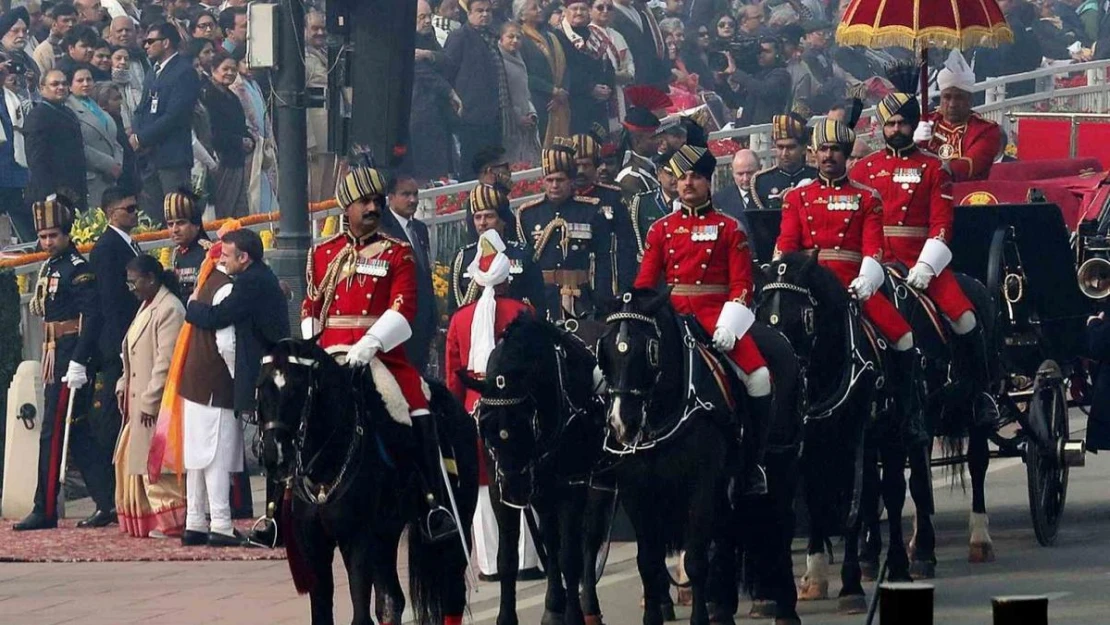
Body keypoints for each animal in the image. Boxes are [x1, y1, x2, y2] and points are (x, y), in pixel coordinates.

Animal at [257, 339, 479, 625]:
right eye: (261, 387)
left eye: (297, 388)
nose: (275, 456)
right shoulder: (314, 544)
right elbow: (322, 614)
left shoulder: (358, 538)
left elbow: (361, 616)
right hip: (386, 534)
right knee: (392, 601)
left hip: (453, 526)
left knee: (452, 593)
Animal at [459, 317, 617, 625]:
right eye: (487, 428)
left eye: (526, 423)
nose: (516, 490)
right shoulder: (498, 490)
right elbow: (507, 558)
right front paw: (507, 617)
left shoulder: (572, 485)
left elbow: (570, 556)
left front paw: (573, 615)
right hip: (544, 491)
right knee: (551, 541)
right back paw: (553, 605)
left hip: (600, 479)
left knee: (589, 539)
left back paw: (589, 606)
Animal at [763, 255, 910, 617]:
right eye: (760, 312)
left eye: (804, 317)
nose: (781, 376)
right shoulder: (810, 446)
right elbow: (816, 501)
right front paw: (815, 575)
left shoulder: (852, 442)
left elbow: (851, 511)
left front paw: (851, 586)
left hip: (892, 434)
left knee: (892, 493)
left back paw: (899, 564)